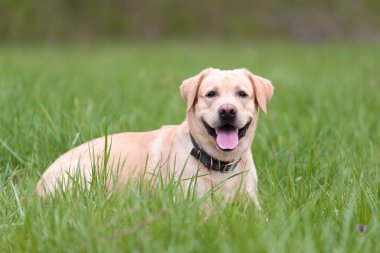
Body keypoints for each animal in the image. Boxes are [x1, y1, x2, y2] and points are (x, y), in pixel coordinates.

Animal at [36, 67, 274, 208]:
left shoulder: (253, 204)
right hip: (85, 172)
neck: (220, 164)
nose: (227, 111)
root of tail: (38, 185)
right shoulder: (192, 203)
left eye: (242, 94)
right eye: (211, 94)